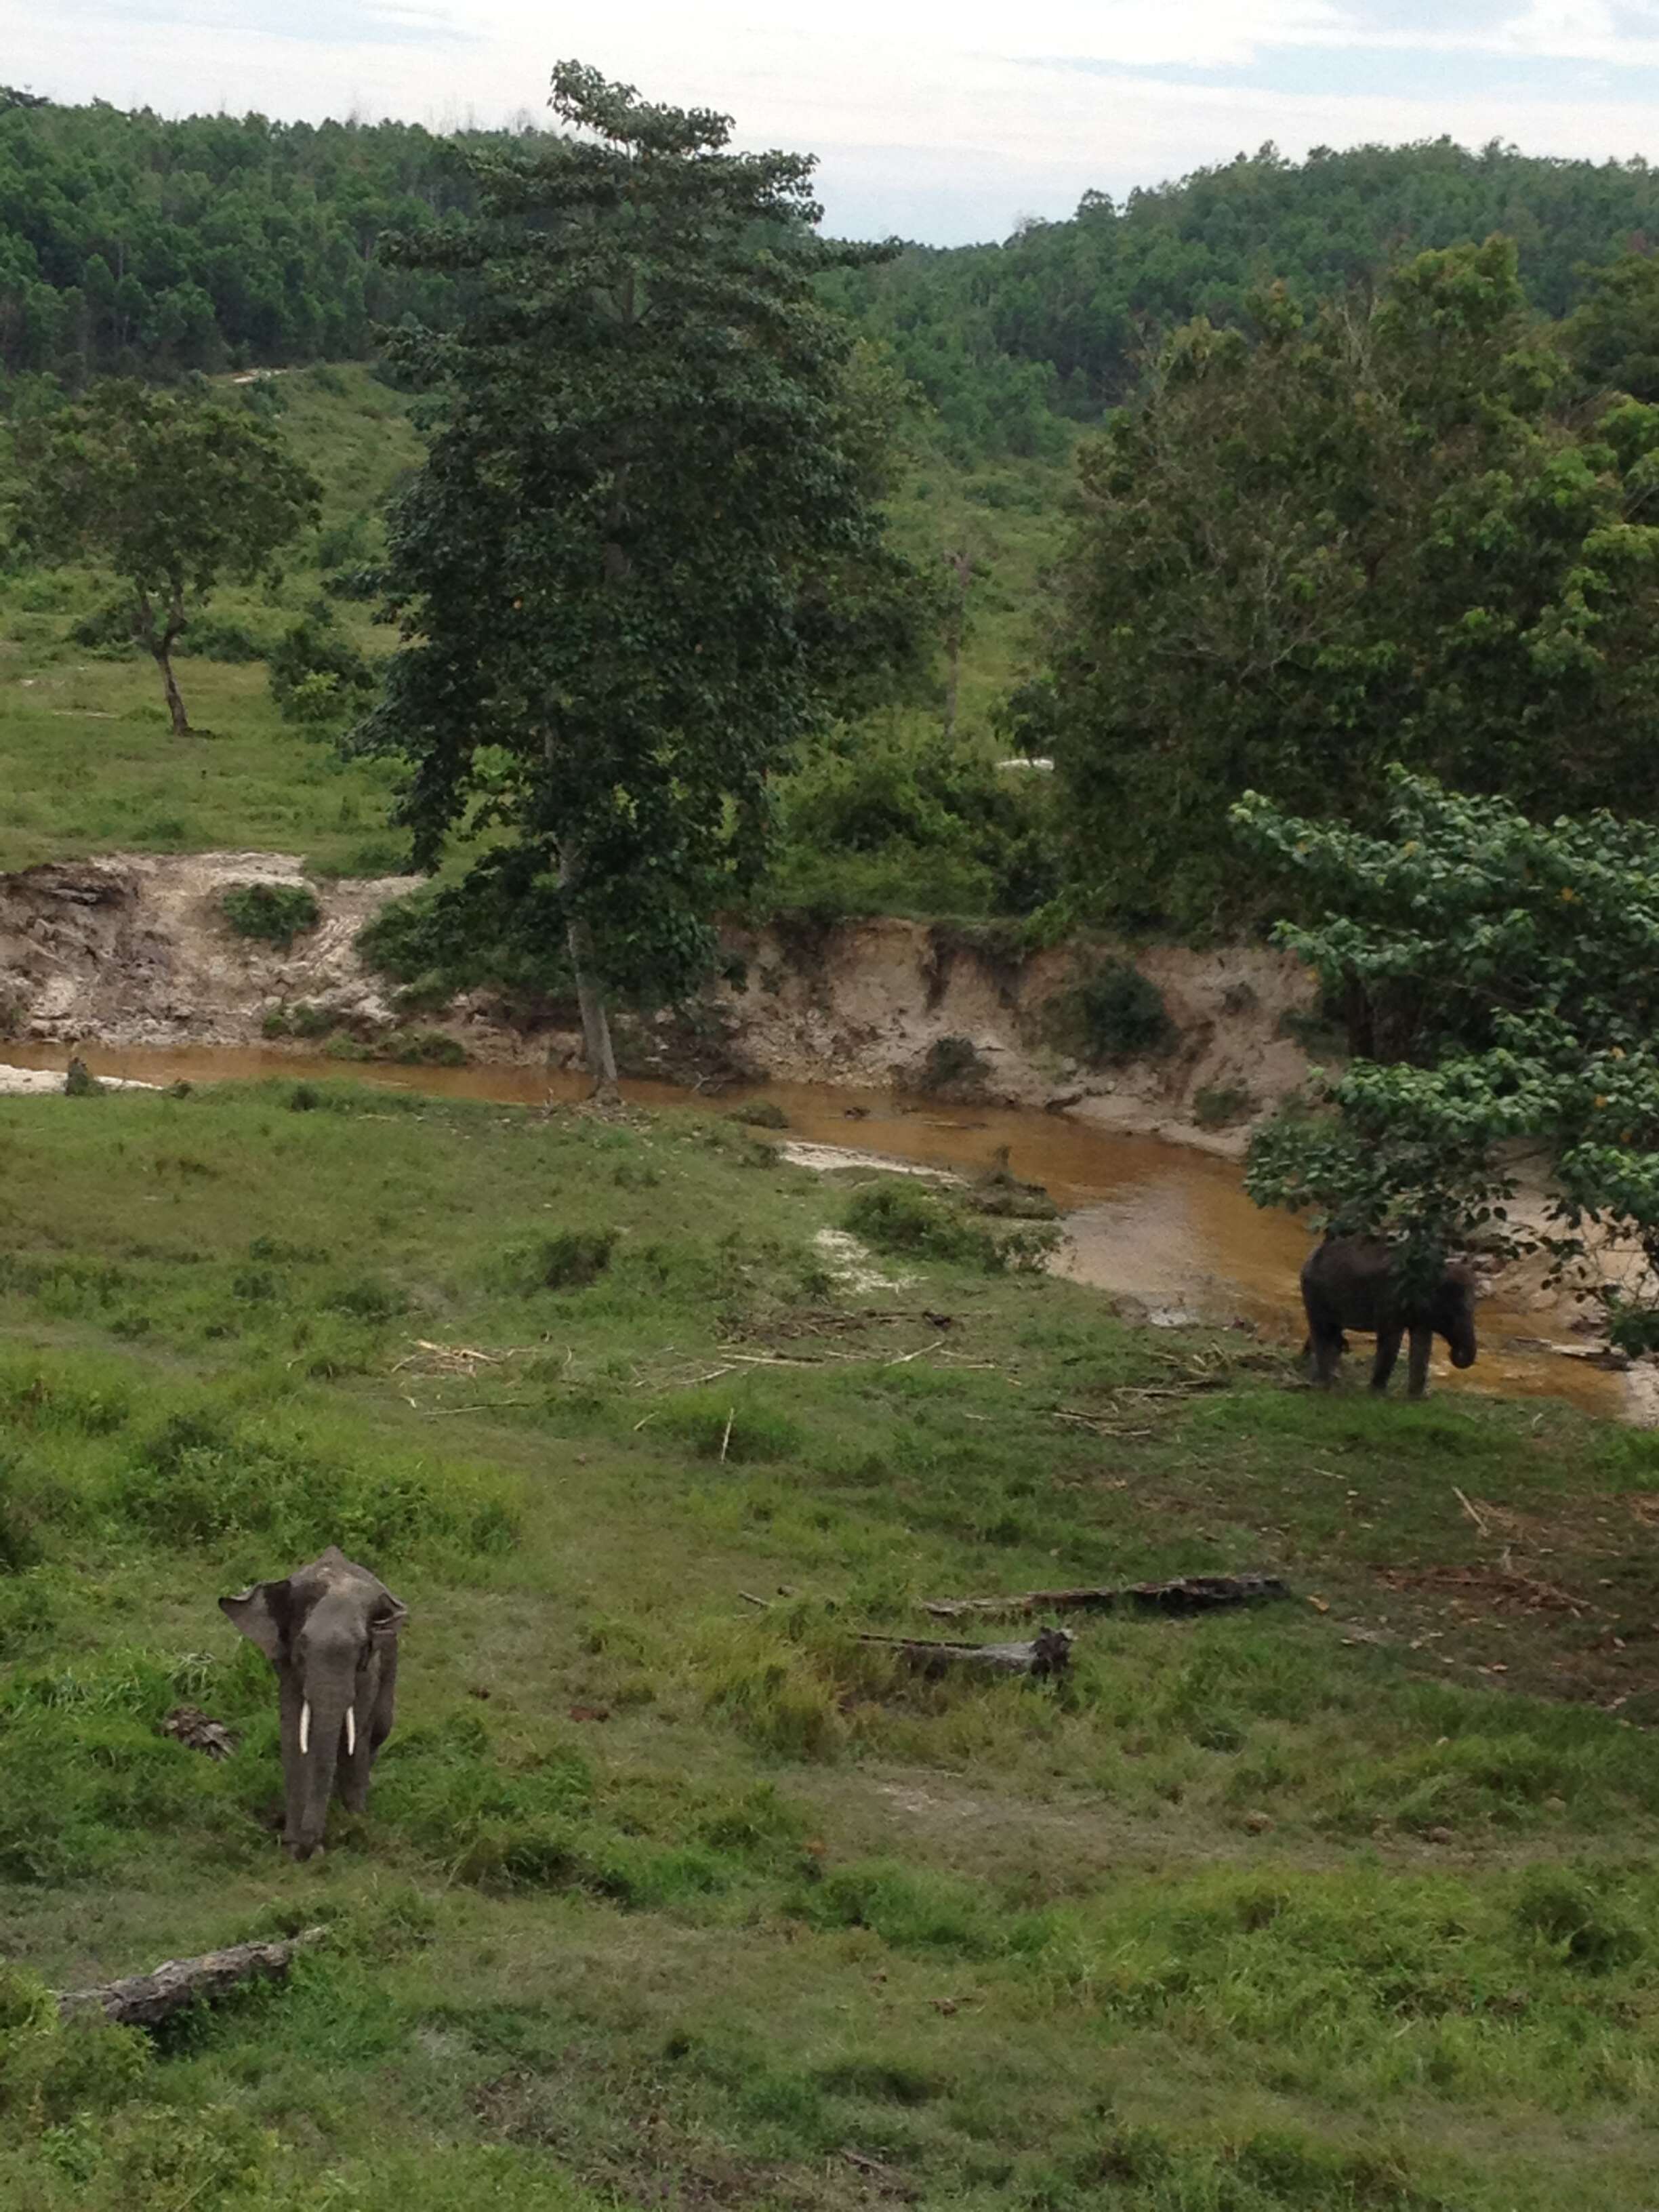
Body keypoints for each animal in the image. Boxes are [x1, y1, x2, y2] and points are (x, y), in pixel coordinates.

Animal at [221, 1548, 409, 1858]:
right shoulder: (287, 1667)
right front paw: (294, 1846)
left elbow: (356, 1732)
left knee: (379, 1729)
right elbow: (294, 1733)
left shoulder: (368, 1668)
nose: (311, 1847)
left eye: (362, 1648)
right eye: (302, 1647)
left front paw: (354, 1825)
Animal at [1300, 1238, 1477, 1389]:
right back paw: (1324, 1383)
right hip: (1314, 1293)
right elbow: (1392, 1339)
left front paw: (1416, 1399)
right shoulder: (1390, 1298)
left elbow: (1422, 1343)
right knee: (1322, 1331)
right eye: (1454, 1312)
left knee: (1332, 1331)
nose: (1452, 1353)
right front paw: (1377, 1393)